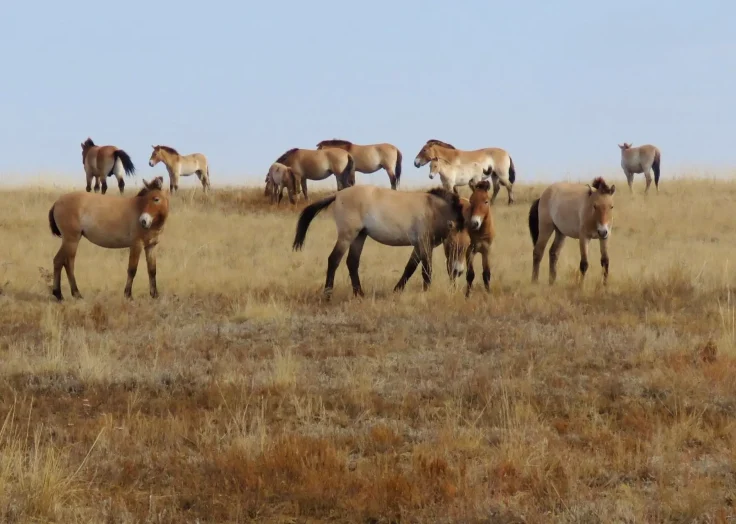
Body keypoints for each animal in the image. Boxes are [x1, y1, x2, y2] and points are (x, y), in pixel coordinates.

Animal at [292, 185, 466, 299]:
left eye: (468, 247)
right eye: (454, 246)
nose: (458, 272)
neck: (434, 210)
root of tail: (338, 194)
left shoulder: (418, 246)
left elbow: (409, 268)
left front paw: (397, 290)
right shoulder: (424, 243)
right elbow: (426, 270)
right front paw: (426, 293)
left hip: (360, 236)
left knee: (352, 262)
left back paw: (359, 294)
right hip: (347, 236)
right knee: (334, 260)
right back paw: (328, 294)